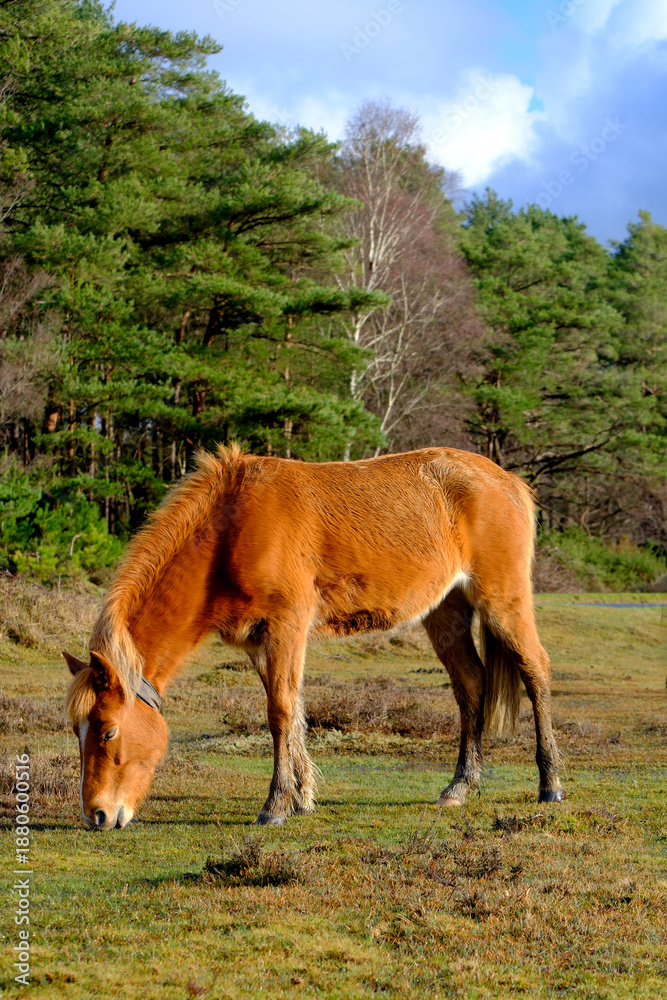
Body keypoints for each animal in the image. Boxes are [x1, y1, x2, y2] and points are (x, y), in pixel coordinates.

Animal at [63, 444, 563, 831]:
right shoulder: (259, 642)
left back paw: (550, 784)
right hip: (446, 610)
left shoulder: (287, 628)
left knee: (535, 670)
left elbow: (281, 712)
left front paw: (275, 806)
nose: (96, 816)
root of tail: (510, 482)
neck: (234, 527)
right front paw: (302, 799)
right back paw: (459, 786)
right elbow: (294, 710)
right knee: (471, 683)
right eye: (77, 731)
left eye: (107, 732)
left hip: (503, 601)